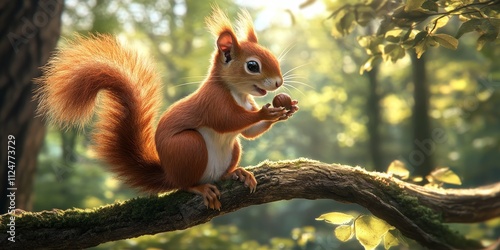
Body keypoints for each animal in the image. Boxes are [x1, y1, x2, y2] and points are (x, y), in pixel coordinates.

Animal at [37, 7, 298, 209]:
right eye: (252, 66)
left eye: (271, 55)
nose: (278, 82)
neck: (237, 93)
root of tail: (169, 174)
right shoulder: (213, 102)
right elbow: (229, 121)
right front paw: (266, 112)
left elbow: (249, 133)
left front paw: (286, 110)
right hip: (188, 146)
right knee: (184, 184)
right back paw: (201, 188)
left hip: (232, 149)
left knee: (226, 164)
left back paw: (237, 173)